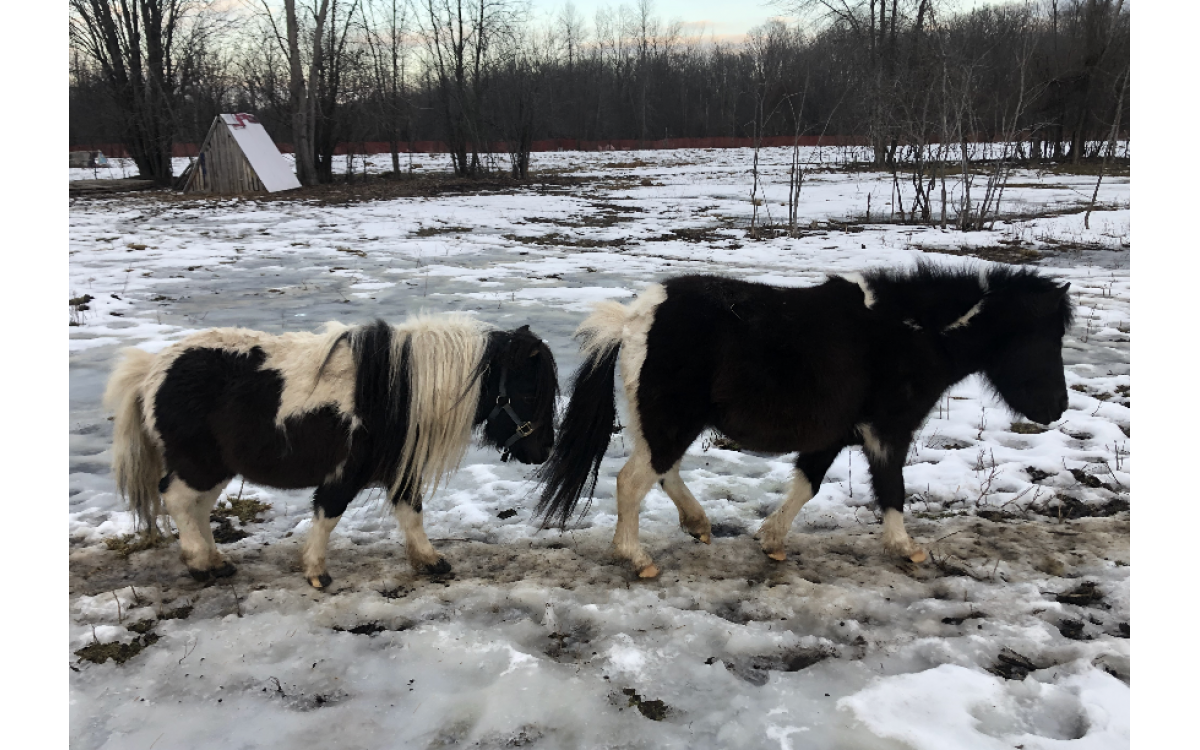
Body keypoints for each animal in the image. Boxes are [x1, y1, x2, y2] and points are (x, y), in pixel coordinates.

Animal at [105, 312, 554, 588]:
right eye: (530, 392)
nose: (545, 450)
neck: (395, 390)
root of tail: (152, 370)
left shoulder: (400, 468)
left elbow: (411, 513)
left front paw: (430, 561)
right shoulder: (344, 473)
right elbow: (328, 516)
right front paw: (317, 573)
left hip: (215, 466)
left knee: (196, 508)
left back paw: (216, 561)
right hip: (198, 464)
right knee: (179, 502)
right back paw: (200, 564)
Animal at [540, 265, 1075, 578]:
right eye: (1044, 338)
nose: (1057, 408)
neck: (910, 335)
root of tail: (635, 318)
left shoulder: (833, 435)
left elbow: (806, 485)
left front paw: (772, 542)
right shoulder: (887, 432)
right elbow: (892, 488)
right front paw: (906, 548)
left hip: (657, 424)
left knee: (662, 473)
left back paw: (698, 525)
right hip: (670, 422)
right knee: (633, 482)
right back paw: (637, 557)